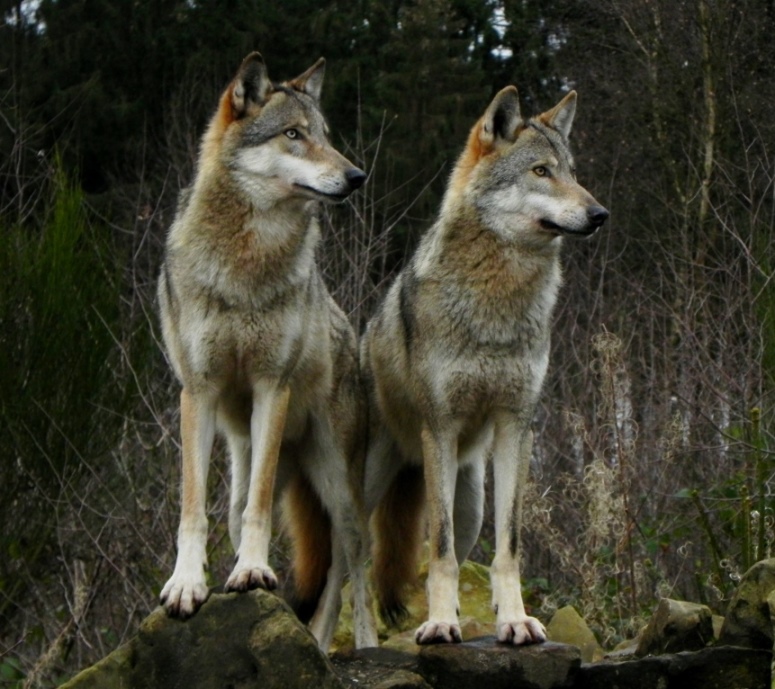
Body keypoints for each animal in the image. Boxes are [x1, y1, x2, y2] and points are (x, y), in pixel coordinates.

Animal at [157, 51, 377, 650]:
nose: (356, 177)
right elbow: (191, 507)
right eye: (293, 135)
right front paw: (187, 585)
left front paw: (254, 571)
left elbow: (260, 511)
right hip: (252, 470)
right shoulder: (198, 391)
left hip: (341, 494)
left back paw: (357, 646)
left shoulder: (270, 387)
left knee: (351, 573)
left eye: (326, 135)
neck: (247, 262)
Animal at [361, 86, 609, 645]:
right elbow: (442, 552)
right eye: (540, 171)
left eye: (573, 171)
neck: (498, 298)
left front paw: (514, 620)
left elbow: (507, 547)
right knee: (348, 576)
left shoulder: (516, 425)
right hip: (364, 495)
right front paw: (437, 625)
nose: (600, 213)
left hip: (469, 498)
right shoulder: (440, 426)